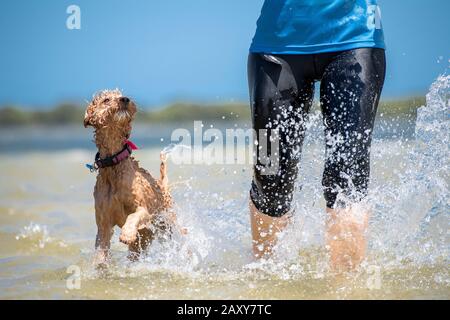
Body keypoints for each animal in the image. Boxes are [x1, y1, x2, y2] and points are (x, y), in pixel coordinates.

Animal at [83, 89, 178, 266]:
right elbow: (101, 250)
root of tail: (162, 186)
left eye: (121, 94)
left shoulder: (143, 209)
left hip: (167, 224)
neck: (114, 163)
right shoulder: (103, 224)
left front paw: (127, 234)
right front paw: (99, 266)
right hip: (142, 243)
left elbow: (134, 216)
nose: (125, 99)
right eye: (106, 100)